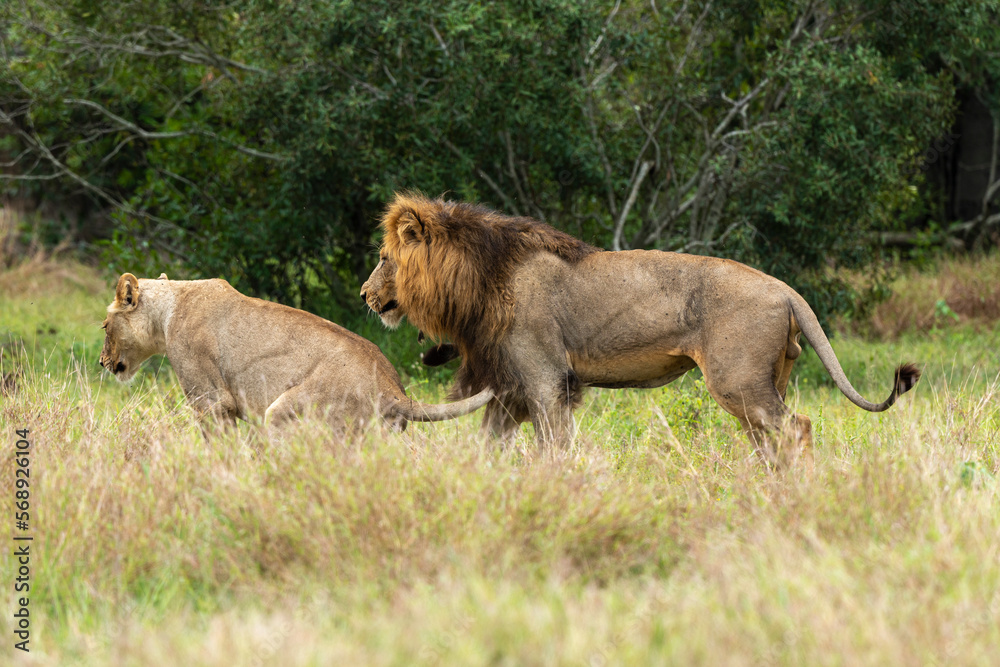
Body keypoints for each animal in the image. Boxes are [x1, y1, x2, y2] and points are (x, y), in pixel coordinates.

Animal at [99, 272, 492, 432]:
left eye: (104, 327)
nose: (102, 362)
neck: (168, 308)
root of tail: (393, 390)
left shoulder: (212, 402)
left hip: (285, 412)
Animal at [361, 193, 920, 464]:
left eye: (385, 258)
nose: (366, 296)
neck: (478, 278)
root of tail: (786, 290)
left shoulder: (545, 381)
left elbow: (553, 447)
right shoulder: (511, 388)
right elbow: (487, 447)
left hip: (738, 382)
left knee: (797, 428)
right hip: (762, 386)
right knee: (771, 440)